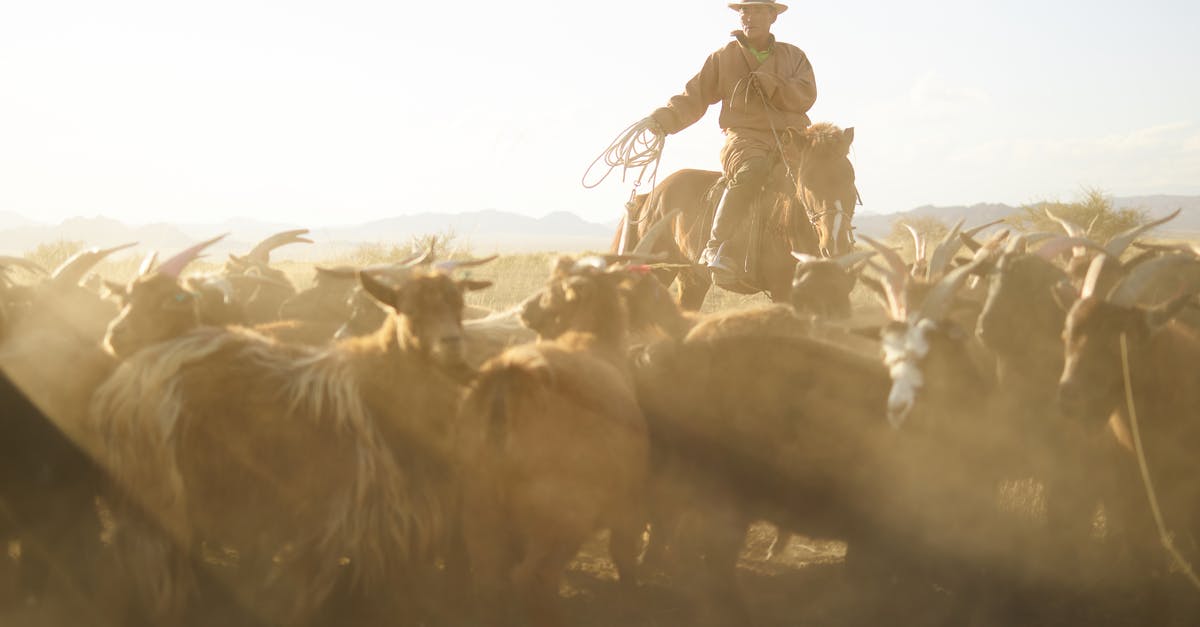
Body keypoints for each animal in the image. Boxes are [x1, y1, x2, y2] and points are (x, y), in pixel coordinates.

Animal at [614, 121, 859, 309]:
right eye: (807, 180)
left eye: (850, 177)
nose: (835, 245)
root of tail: (650, 196)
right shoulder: (784, 293)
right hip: (657, 274)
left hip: (692, 281)